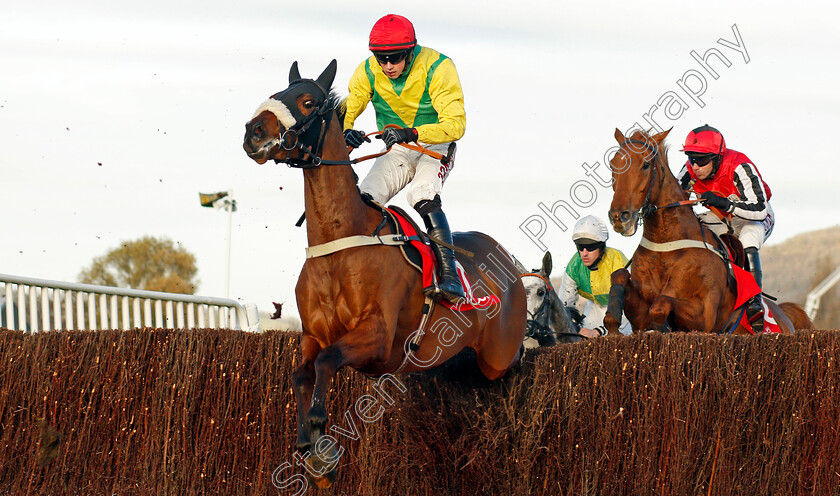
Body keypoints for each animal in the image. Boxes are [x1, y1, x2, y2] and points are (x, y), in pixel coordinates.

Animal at [241, 61, 524, 488]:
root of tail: (509, 260)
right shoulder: (312, 335)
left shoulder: (376, 336)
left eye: (307, 101)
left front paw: (322, 448)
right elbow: (300, 374)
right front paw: (308, 445)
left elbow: (327, 362)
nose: (253, 131)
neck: (339, 244)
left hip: (498, 357)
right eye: (277, 93)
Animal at [604, 129, 812, 338]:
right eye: (613, 164)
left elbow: (660, 304)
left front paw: (663, 328)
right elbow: (619, 276)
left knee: (750, 243)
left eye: (646, 165)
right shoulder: (640, 319)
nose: (619, 217)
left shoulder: (705, 318)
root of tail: (783, 314)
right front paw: (612, 322)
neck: (665, 245)